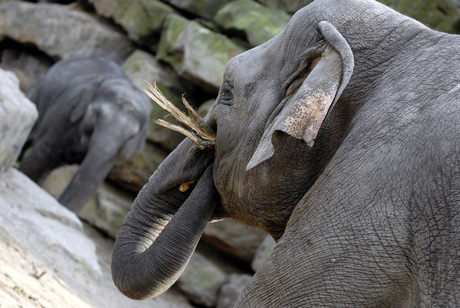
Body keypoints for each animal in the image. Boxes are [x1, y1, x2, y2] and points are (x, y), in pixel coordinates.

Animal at [19, 57, 151, 212]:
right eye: (97, 114)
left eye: (131, 136)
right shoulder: (64, 113)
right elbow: (41, 156)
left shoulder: (115, 154)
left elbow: (93, 181)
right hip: (40, 95)